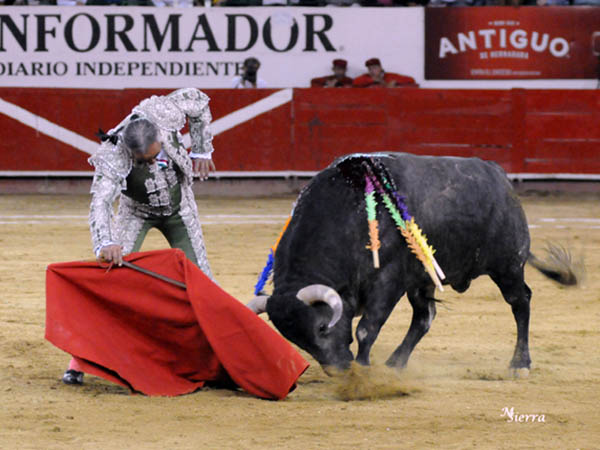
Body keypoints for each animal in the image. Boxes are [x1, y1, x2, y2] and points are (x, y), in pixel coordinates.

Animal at [247, 154, 576, 372]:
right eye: (296, 339)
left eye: (321, 328)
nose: (339, 369)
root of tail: (500, 177)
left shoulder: (388, 281)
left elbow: (366, 328)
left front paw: (363, 367)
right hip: (422, 280)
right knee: (424, 317)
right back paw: (396, 362)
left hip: (507, 266)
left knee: (520, 303)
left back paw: (520, 363)